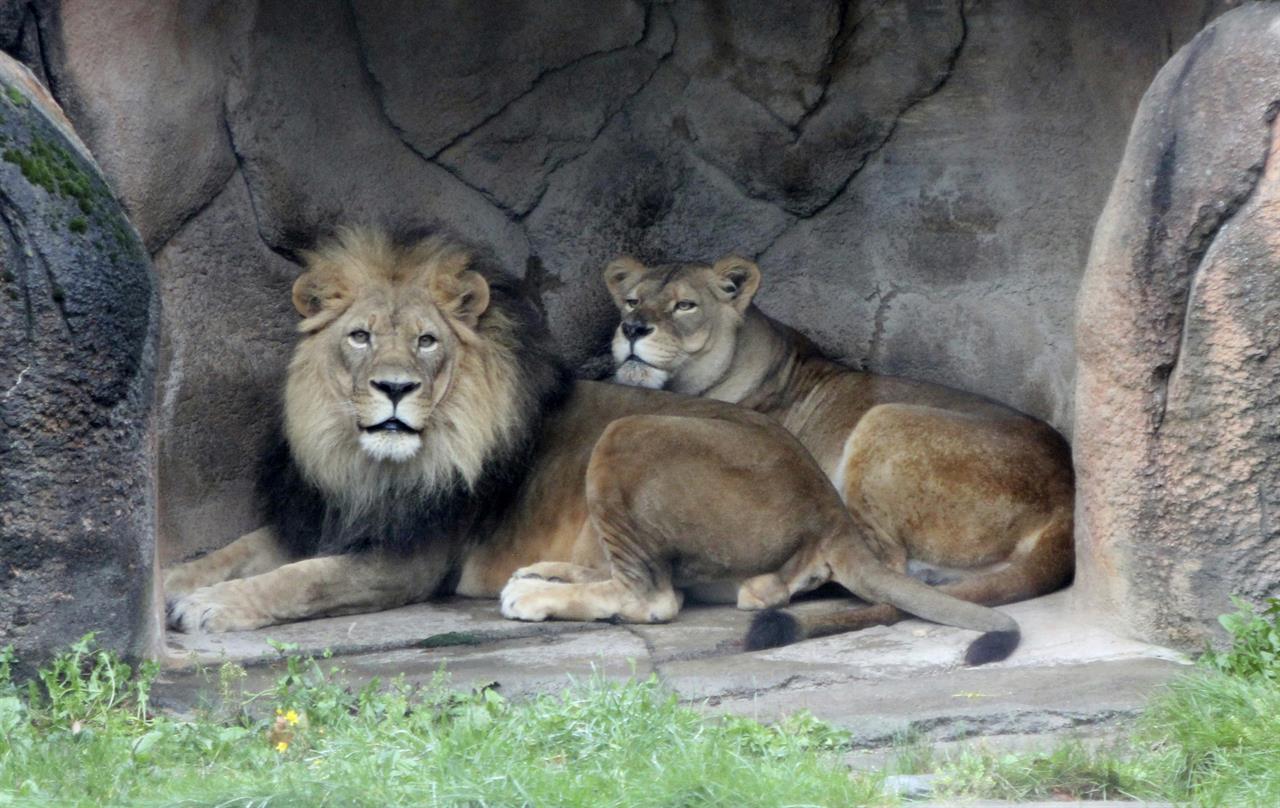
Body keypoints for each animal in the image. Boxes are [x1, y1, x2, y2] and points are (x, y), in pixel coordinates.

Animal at [162, 227, 1018, 665]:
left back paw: (535, 596)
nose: (395, 389)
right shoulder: (322, 517)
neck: (365, 460)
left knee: (655, 597)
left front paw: (210, 609)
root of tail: (828, 505)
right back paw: (545, 573)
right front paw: (173, 582)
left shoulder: (408, 557)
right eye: (360, 337)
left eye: (429, 342)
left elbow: (300, 581)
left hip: (630, 433)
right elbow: (235, 552)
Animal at [604, 256, 1075, 655]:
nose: (633, 329)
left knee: (884, 567)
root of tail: (1067, 501)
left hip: (884, 418)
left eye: (685, 305)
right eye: (632, 301)